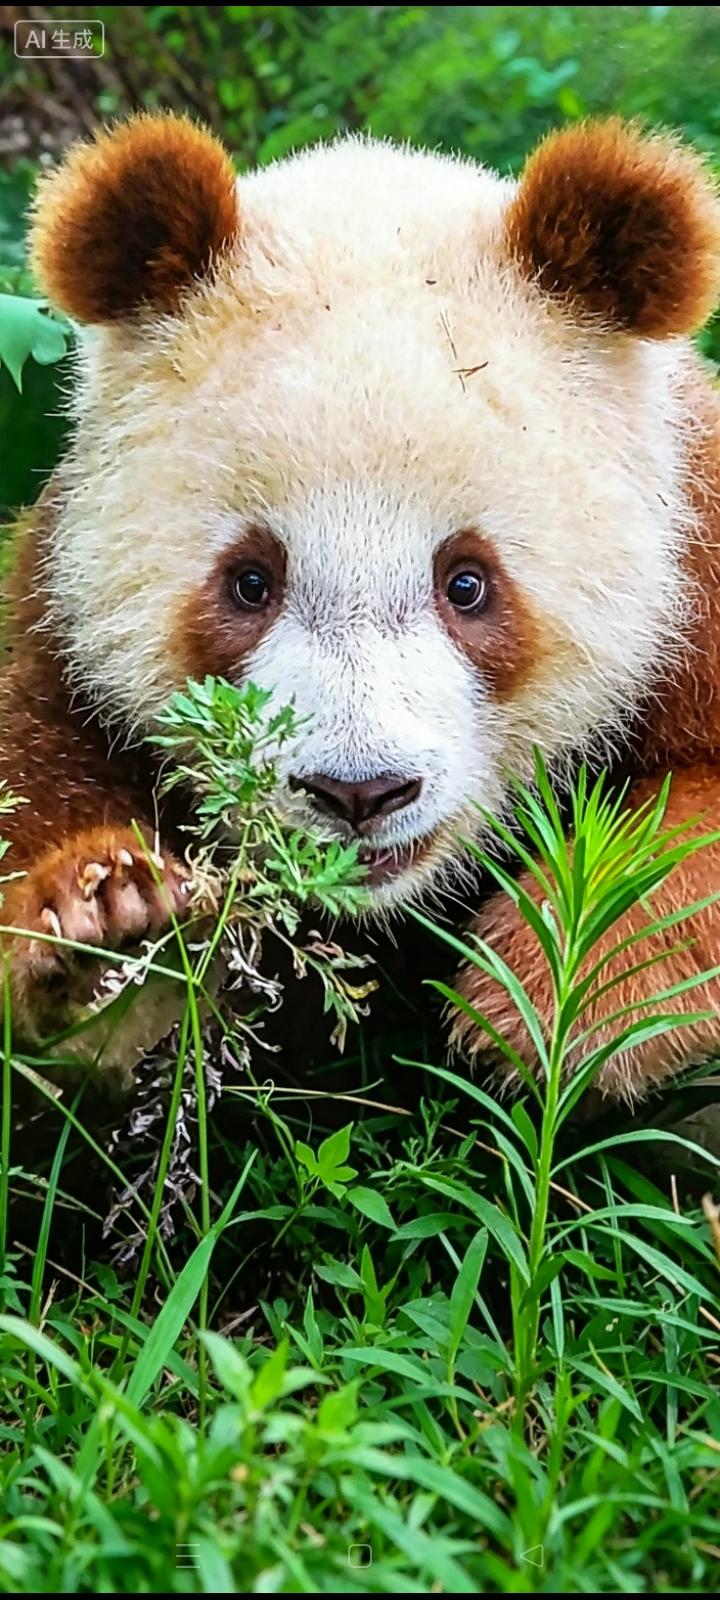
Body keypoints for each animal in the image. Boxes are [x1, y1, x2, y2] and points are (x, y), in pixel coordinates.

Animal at [2, 109, 720, 1100]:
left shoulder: (695, 554)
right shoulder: (60, 610)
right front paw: (111, 932)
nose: (359, 792)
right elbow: (32, 775)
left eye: (467, 583)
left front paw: (563, 989)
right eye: (251, 582)